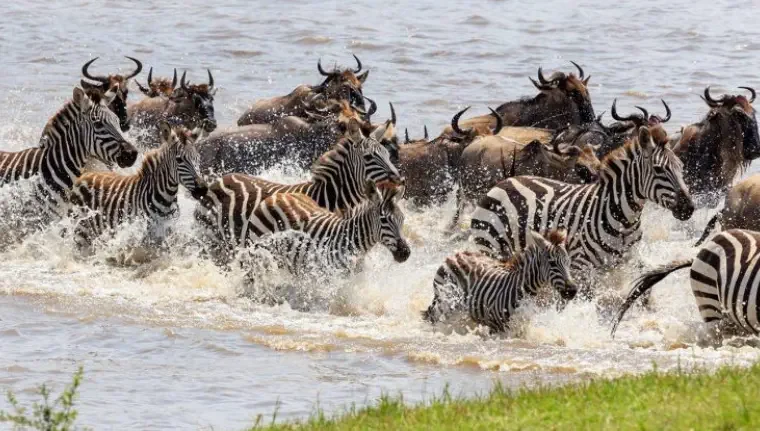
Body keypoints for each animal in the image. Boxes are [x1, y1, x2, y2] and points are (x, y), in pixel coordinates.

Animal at [70, 121, 208, 250]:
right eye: (179, 160)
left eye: (198, 158)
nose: (203, 189)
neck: (166, 199)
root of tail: (85, 174)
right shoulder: (143, 235)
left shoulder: (167, 231)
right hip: (81, 232)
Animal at [423, 229, 577, 333]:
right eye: (552, 263)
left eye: (569, 263)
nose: (573, 291)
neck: (523, 290)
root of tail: (456, 254)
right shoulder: (497, 328)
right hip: (444, 301)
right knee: (432, 315)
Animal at [469, 127, 695, 290]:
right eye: (659, 169)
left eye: (682, 167)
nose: (689, 207)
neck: (624, 221)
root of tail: (505, 182)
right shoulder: (579, 267)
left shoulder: (628, 263)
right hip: (490, 246)